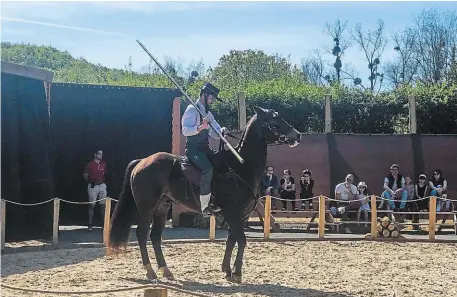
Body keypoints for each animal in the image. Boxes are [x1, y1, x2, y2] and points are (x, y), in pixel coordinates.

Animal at [105, 104, 302, 282]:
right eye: (275, 121)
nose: (297, 135)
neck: (241, 166)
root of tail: (142, 162)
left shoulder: (241, 215)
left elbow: (232, 239)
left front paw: (227, 270)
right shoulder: (232, 213)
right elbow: (241, 240)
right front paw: (237, 273)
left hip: (162, 207)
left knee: (155, 237)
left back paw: (166, 270)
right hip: (147, 208)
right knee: (142, 234)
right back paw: (150, 272)